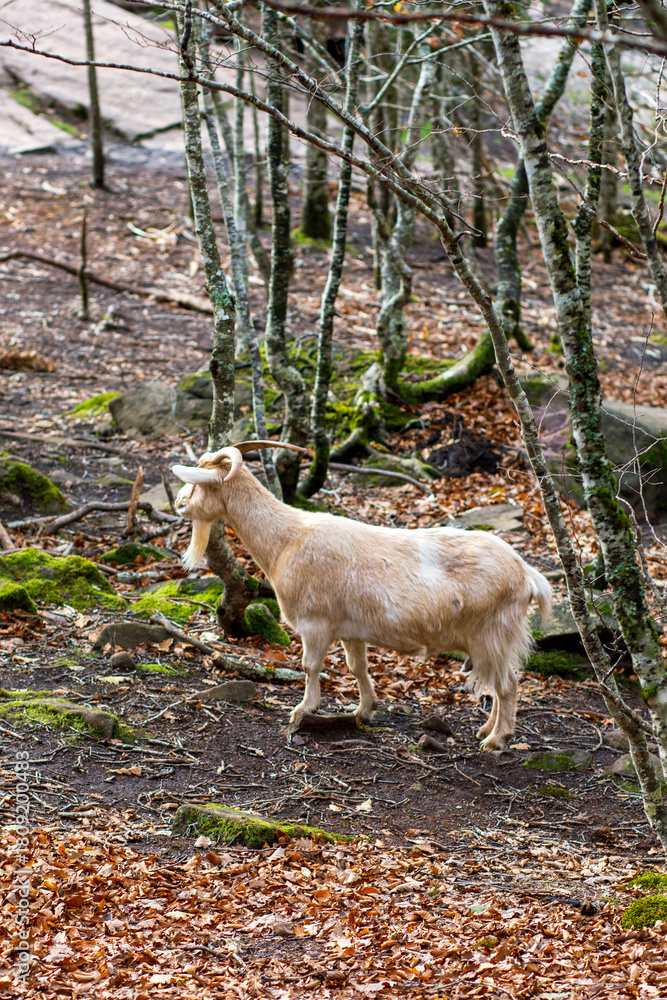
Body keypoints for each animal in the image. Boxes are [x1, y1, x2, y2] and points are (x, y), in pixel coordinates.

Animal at [172, 442, 552, 750]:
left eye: (201, 482)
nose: (178, 503)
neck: (287, 539)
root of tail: (527, 573)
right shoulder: (350, 630)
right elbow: (358, 667)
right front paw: (364, 711)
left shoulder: (315, 624)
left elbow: (309, 666)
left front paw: (302, 711)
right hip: (493, 639)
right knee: (501, 683)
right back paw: (486, 729)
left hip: (491, 634)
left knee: (507, 684)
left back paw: (496, 739)